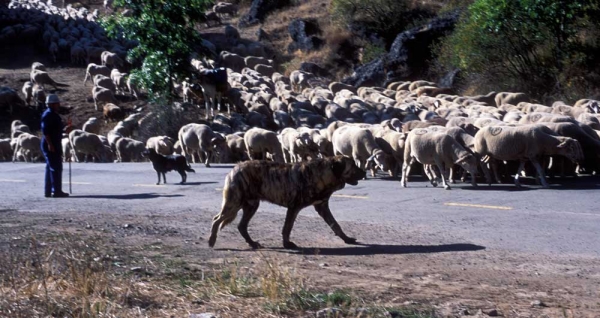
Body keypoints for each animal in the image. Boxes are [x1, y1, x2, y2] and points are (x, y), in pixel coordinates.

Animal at [206, 155, 366, 250]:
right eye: (353, 166)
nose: (364, 173)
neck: (322, 174)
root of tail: (235, 167)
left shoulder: (322, 207)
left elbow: (336, 225)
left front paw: (347, 239)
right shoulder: (294, 208)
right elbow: (287, 228)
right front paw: (287, 244)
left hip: (251, 206)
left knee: (241, 226)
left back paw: (252, 243)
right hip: (234, 203)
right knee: (216, 219)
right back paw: (211, 241)